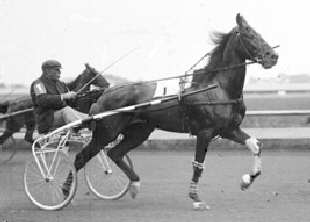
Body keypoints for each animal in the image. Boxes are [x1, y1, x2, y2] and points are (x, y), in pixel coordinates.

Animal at [62, 13, 278, 208]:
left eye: (257, 31)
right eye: (248, 33)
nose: (273, 56)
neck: (218, 87)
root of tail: (106, 92)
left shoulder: (229, 130)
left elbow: (256, 146)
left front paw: (247, 180)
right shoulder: (205, 132)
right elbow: (198, 164)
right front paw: (196, 198)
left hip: (139, 131)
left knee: (115, 153)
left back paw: (135, 184)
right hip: (107, 131)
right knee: (82, 157)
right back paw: (65, 192)